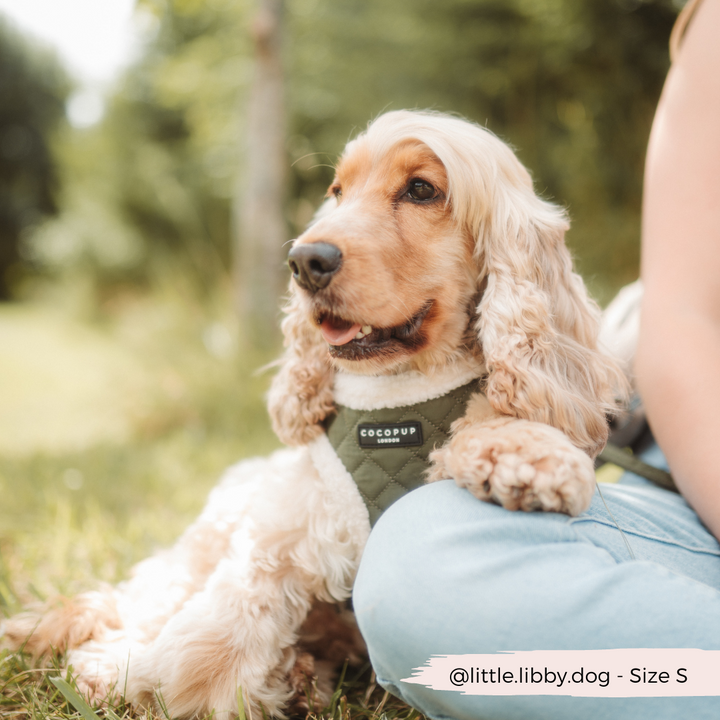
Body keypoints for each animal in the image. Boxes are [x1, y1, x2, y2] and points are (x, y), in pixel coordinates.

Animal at [1, 108, 624, 720]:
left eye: (422, 189)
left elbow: (493, 419)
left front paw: (527, 458)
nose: (304, 260)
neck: (399, 393)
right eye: (338, 192)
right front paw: (143, 676)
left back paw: (300, 674)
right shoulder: (280, 530)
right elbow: (213, 636)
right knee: (142, 599)